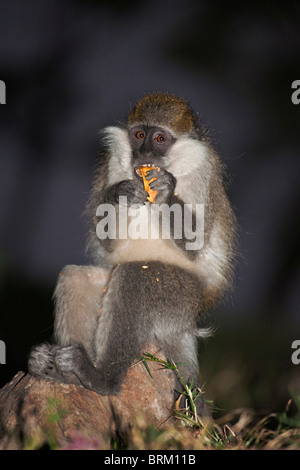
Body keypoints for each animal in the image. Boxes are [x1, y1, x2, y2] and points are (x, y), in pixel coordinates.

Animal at [28, 93, 236, 416]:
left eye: (160, 138)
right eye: (139, 135)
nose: (144, 152)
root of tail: (188, 324)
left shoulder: (204, 172)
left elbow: (195, 244)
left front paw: (166, 192)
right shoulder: (114, 164)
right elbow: (110, 243)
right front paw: (119, 195)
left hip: (180, 298)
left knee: (135, 277)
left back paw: (102, 378)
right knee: (75, 276)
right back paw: (60, 370)